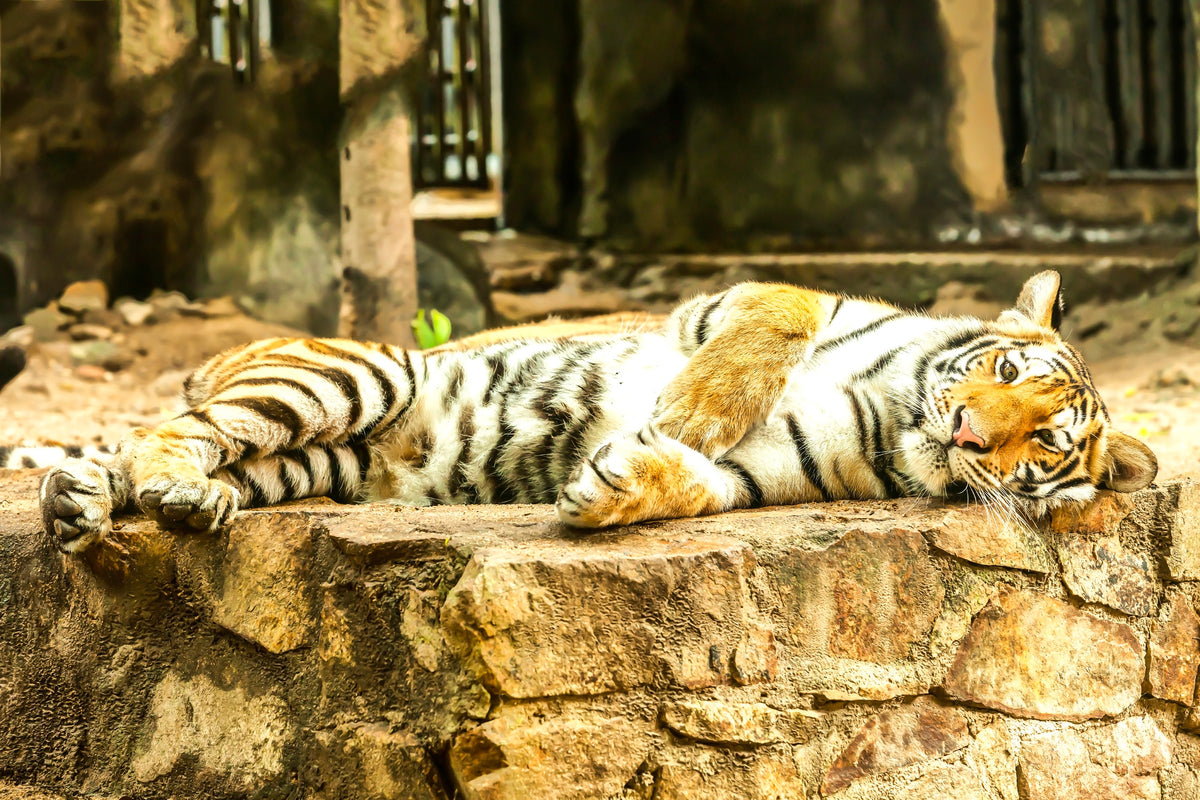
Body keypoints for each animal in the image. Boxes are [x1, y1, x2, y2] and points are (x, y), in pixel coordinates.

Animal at [29, 269, 1156, 555]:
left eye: (1042, 444)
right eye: (1002, 365)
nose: (969, 432)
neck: (900, 413)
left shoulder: (770, 472)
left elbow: (698, 483)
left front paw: (612, 485)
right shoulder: (735, 300)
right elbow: (777, 319)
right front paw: (691, 407)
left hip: (318, 462)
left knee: (180, 457)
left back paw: (98, 504)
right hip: (358, 373)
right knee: (173, 431)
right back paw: (158, 490)